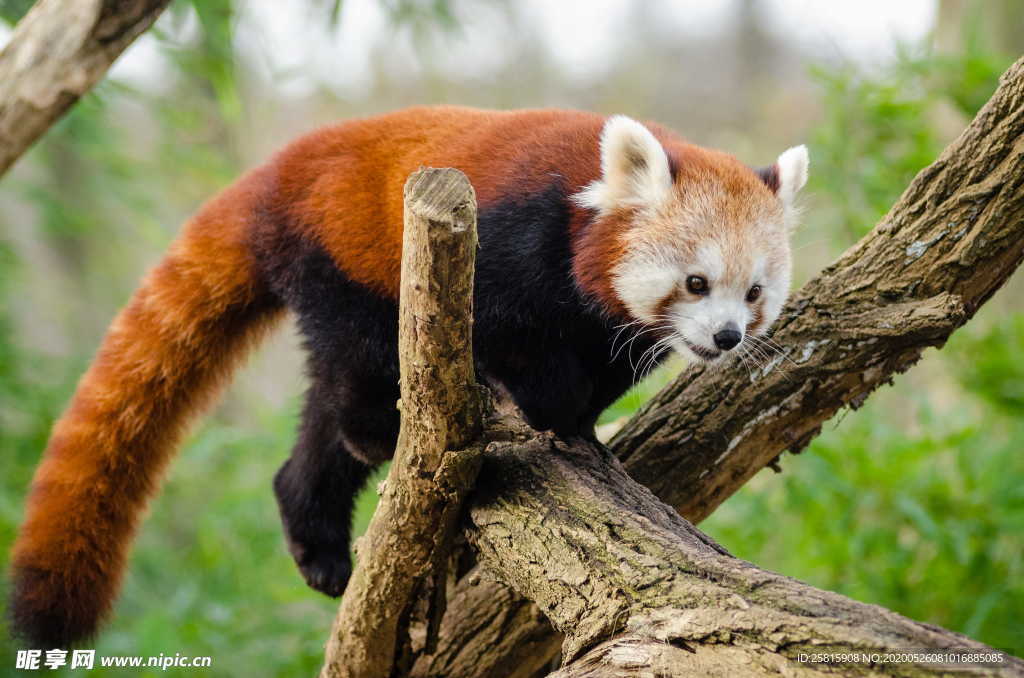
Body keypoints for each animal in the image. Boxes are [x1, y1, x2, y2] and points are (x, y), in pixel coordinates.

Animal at [8, 104, 806, 647]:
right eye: (697, 283)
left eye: (753, 293)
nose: (727, 337)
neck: (583, 209)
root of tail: (276, 171)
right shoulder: (513, 241)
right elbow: (514, 340)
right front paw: (546, 408)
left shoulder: (601, 324)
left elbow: (603, 367)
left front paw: (580, 425)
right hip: (345, 256)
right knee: (355, 363)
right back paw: (375, 434)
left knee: (319, 427)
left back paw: (317, 533)